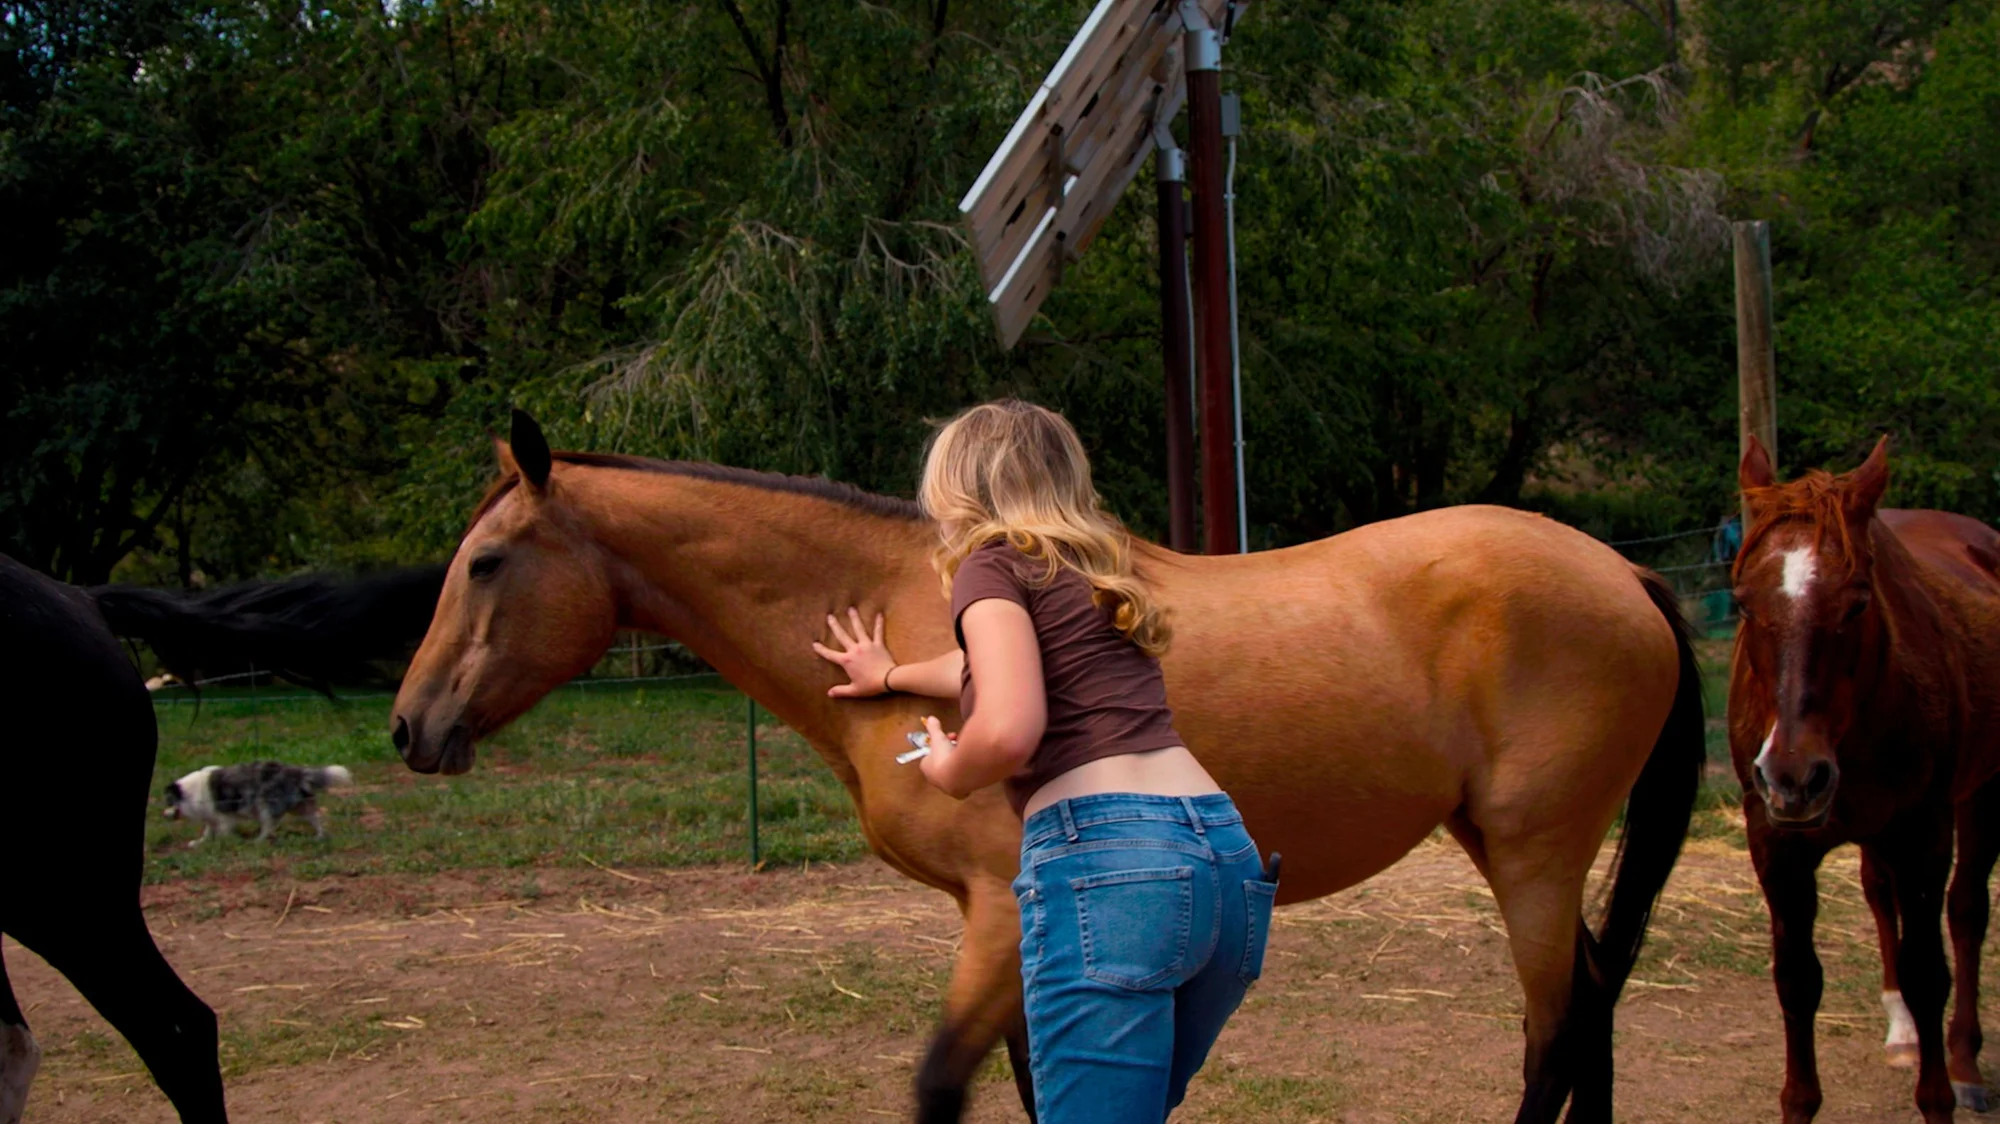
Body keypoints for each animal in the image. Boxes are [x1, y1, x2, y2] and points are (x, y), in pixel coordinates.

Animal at [398, 414, 1712, 1120]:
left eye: (487, 561)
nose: (409, 725)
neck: (902, 598)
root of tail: (1622, 570)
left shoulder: (995, 911)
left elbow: (942, 1080)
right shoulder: (1025, 919)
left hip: (1536, 852)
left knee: (1557, 1027)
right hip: (1507, 844)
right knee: (1590, 1003)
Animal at [1720, 438, 2000, 1120]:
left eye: (1859, 600)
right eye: (1742, 601)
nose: (1794, 777)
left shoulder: (1925, 831)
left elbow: (1931, 973)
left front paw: (1940, 1097)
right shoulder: (1776, 845)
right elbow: (1797, 980)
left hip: (1980, 796)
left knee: (1967, 912)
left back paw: (1964, 1061)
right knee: (1878, 892)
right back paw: (1901, 1031)